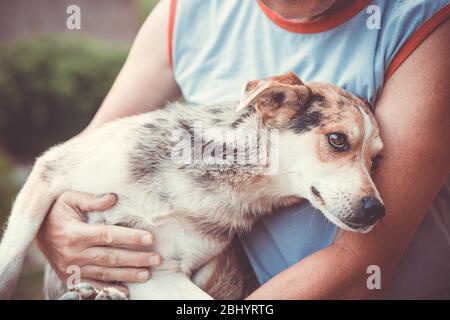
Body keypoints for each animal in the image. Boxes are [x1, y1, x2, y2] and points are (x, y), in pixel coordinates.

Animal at [0, 71, 384, 298]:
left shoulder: (157, 273)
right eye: (337, 140)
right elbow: (10, 260)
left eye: (376, 159)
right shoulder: (51, 168)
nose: (377, 210)